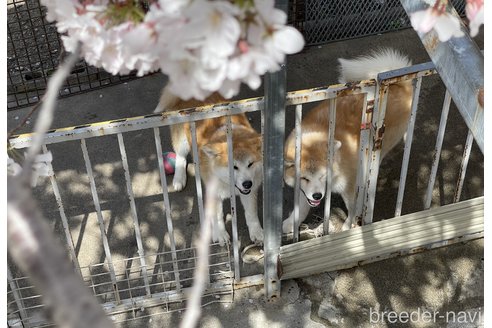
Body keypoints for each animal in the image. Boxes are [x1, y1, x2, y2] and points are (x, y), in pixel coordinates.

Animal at [154, 87, 264, 246]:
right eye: (234, 167)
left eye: (250, 164)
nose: (247, 183)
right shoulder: (214, 192)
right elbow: (217, 218)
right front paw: (220, 234)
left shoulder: (250, 191)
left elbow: (251, 213)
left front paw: (257, 232)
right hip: (182, 139)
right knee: (180, 157)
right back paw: (179, 179)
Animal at [282, 48, 414, 233]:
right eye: (305, 178)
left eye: (323, 176)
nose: (318, 195)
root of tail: (399, 84)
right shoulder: (304, 190)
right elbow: (301, 206)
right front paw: (291, 222)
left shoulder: (349, 187)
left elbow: (351, 208)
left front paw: (348, 225)